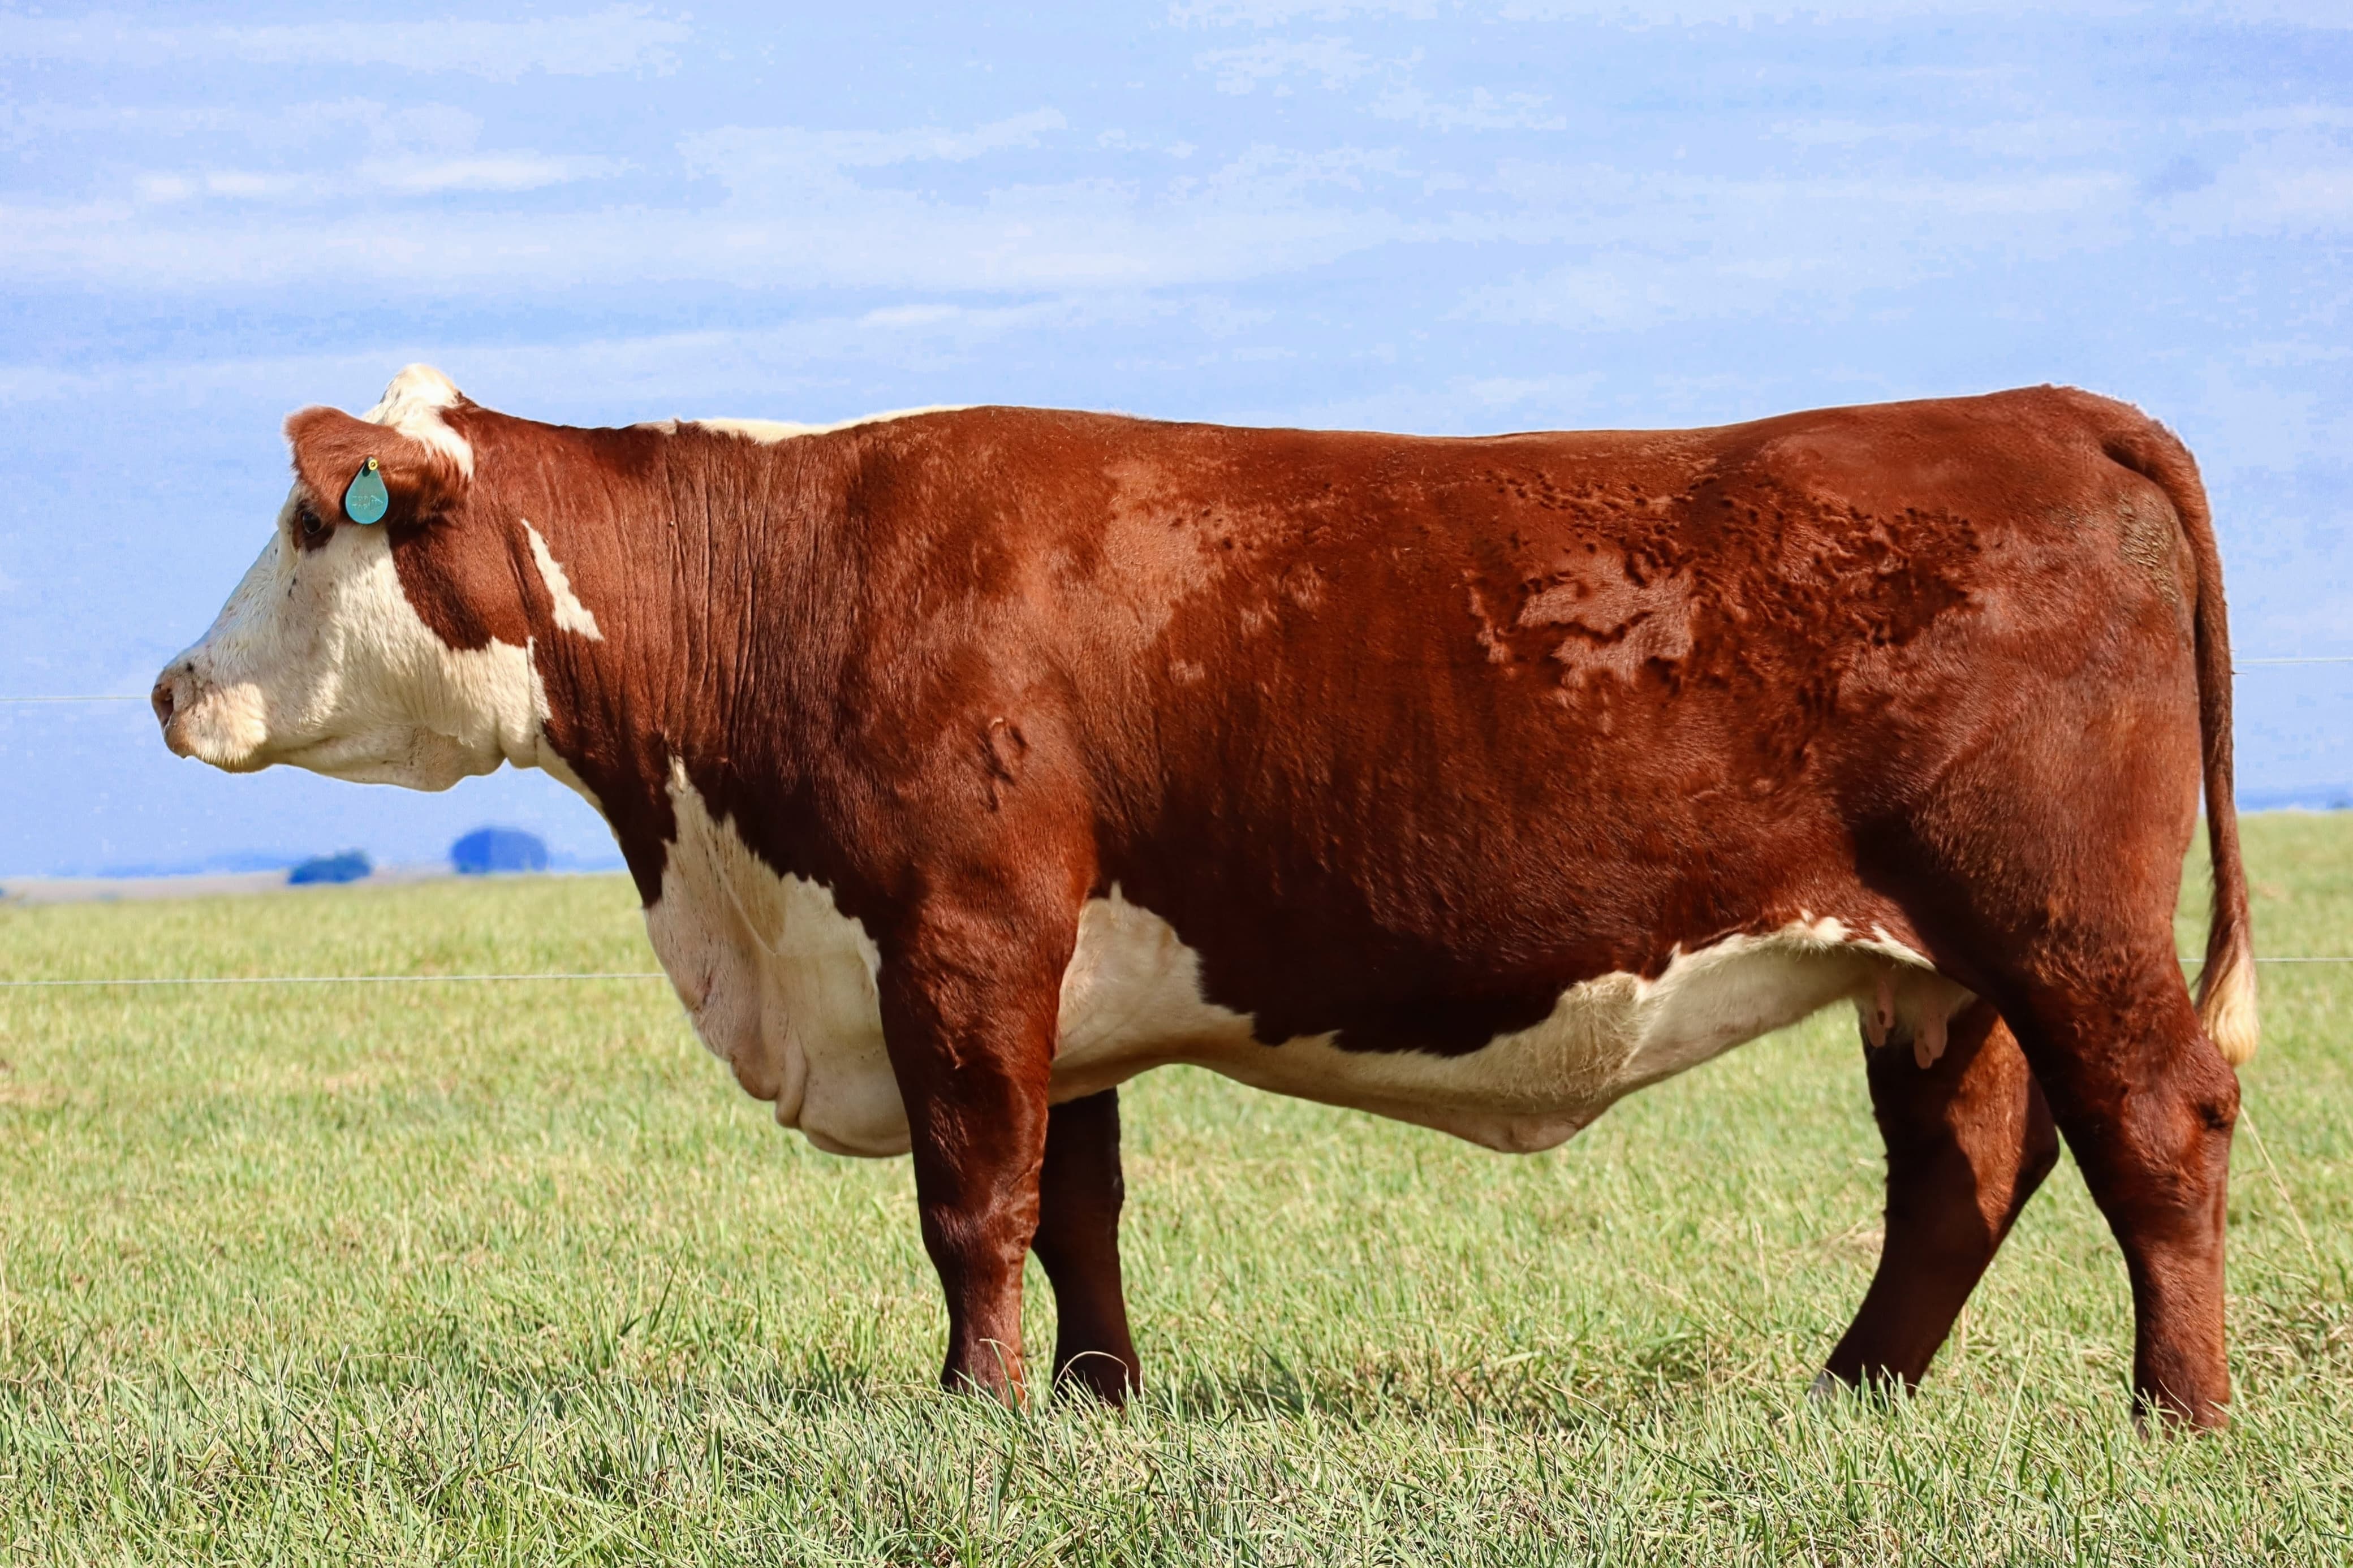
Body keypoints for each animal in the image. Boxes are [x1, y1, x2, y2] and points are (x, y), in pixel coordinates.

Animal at [153, 366, 2257, 1427]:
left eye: (305, 522)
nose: (175, 687)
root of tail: (2035, 402)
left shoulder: (961, 931)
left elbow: (973, 1199)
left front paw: (976, 1412)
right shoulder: (1045, 972)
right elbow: (1076, 1201)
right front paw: (1095, 1397)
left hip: (2061, 924)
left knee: (2150, 1127)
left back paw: (2176, 1414)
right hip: (1934, 964)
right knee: (1966, 1167)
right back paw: (1854, 1394)